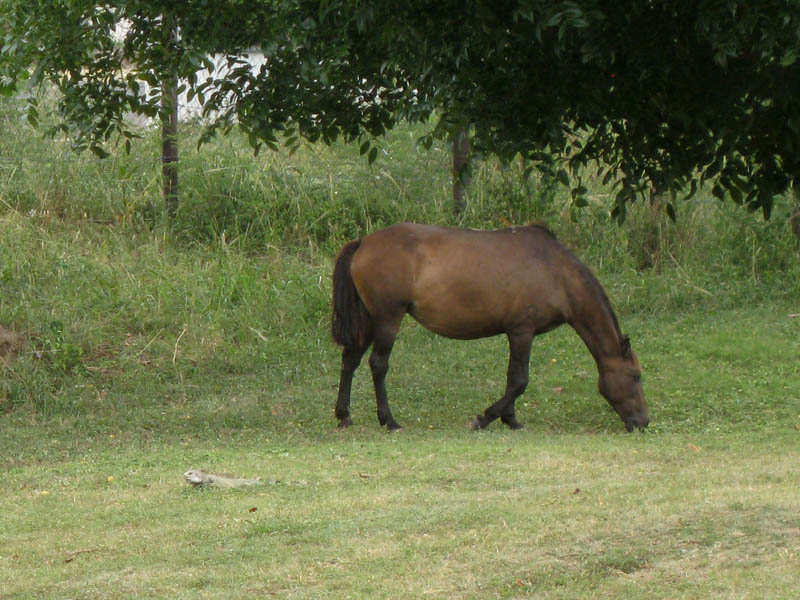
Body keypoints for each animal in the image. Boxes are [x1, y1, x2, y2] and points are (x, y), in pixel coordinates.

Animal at [328, 223, 648, 434]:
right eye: (636, 375)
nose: (644, 422)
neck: (556, 273)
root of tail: (363, 242)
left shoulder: (518, 334)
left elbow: (513, 378)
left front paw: (510, 419)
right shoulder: (522, 331)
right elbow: (519, 380)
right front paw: (485, 418)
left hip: (370, 320)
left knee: (350, 360)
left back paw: (344, 415)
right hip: (388, 319)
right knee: (378, 364)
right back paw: (389, 420)